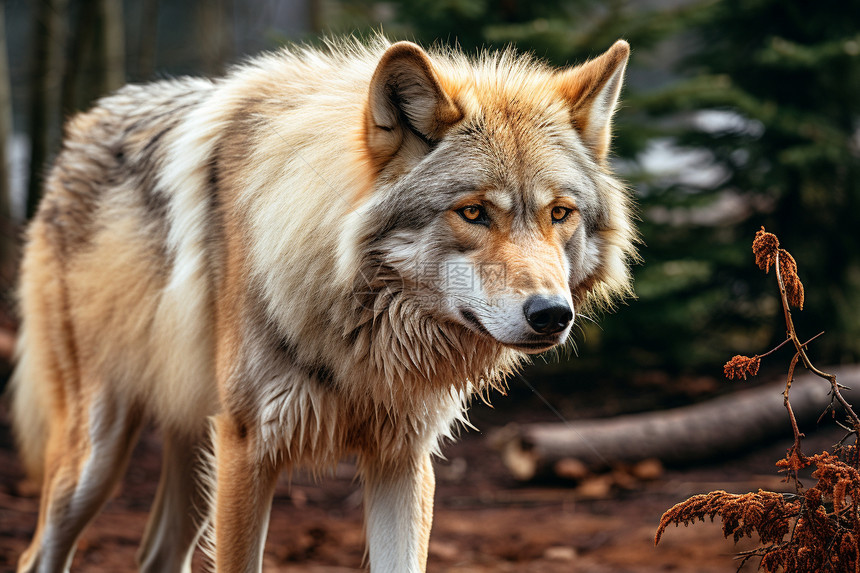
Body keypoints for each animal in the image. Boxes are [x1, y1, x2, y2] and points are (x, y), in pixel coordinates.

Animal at [10, 38, 636, 568]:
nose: (551, 314)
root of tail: (83, 126)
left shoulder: (402, 460)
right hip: (96, 458)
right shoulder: (247, 448)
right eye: (474, 212)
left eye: (560, 213)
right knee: (35, 555)